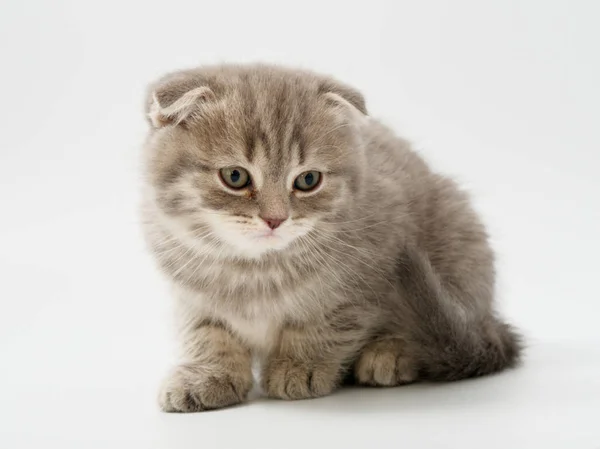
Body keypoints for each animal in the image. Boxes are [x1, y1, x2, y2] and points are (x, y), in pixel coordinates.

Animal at [141, 63, 520, 410]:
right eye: (235, 176)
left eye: (308, 180)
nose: (275, 219)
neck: (253, 271)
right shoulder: (190, 294)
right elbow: (207, 334)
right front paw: (206, 376)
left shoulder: (365, 277)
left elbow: (326, 323)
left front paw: (299, 366)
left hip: (459, 249)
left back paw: (389, 354)